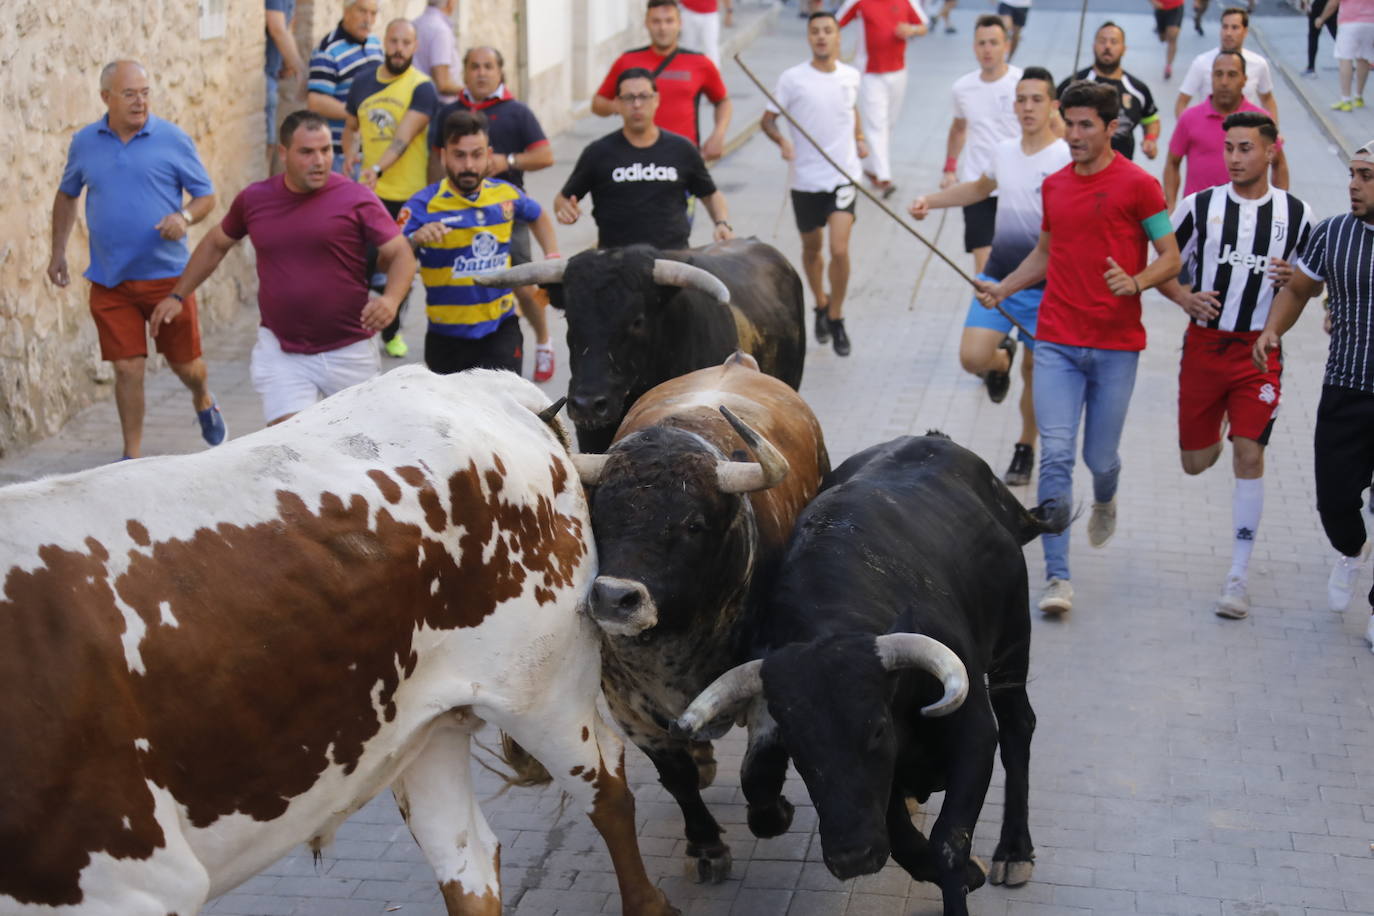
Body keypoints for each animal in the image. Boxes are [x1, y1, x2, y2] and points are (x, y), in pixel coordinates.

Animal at [0, 368, 676, 916]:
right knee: (468, 862)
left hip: (543, 692)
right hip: (420, 730)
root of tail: (484, 387)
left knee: (608, 787)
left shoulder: (131, 884)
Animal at [568, 354, 824, 884]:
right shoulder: (628, 705)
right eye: (599, 516)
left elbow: (758, 772)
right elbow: (679, 778)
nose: (614, 598)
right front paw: (706, 844)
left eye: (692, 524)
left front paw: (775, 813)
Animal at [676, 436, 1071, 916]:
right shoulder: (886, 787)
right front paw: (963, 874)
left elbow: (949, 841)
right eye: (797, 746)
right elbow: (905, 841)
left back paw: (1013, 852)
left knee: (1018, 729)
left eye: (878, 729)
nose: (852, 857)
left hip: (1012, 645)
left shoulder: (975, 734)